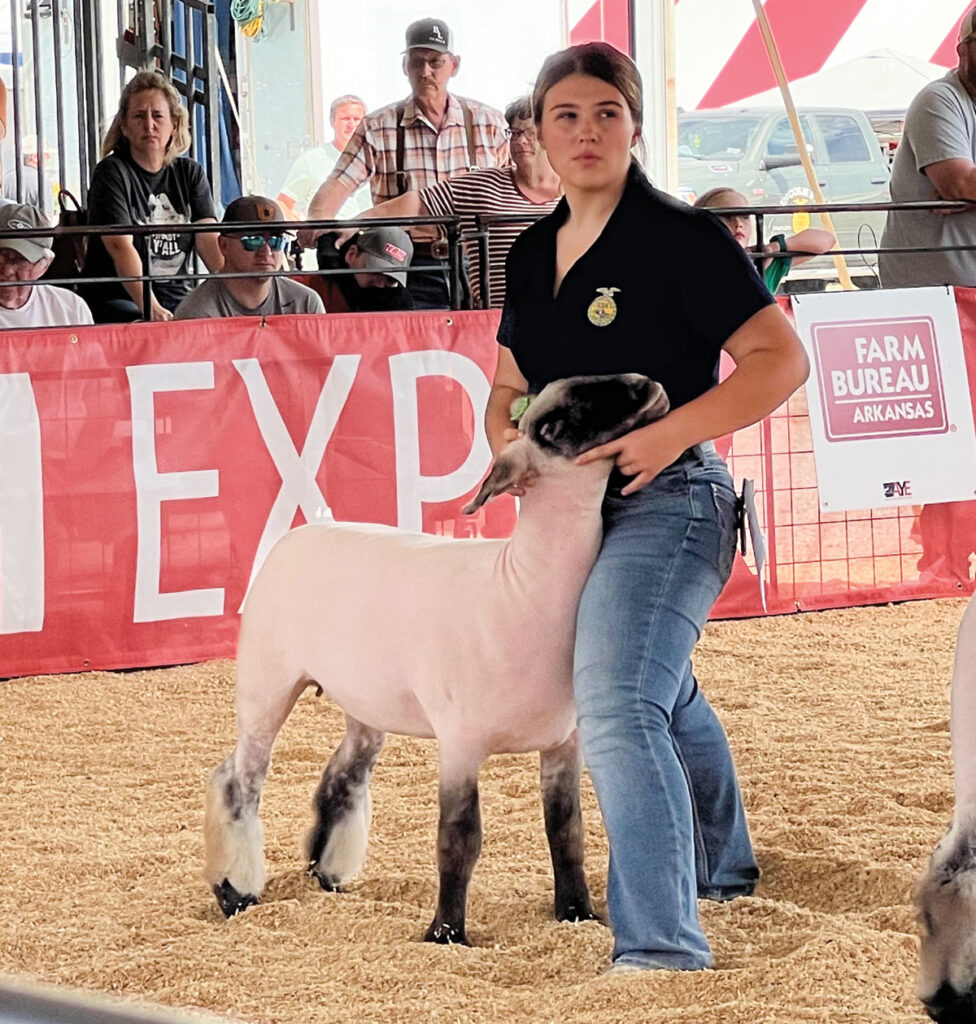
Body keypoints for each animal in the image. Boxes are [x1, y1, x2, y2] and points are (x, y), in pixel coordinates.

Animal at [200, 374, 667, 942]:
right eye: (555, 424)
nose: (646, 385)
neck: (521, 587)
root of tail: (302, 530)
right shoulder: (460, 743)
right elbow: (459, 839)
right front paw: (447, 933)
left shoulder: (564, 742)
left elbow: (567, 832)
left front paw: (577, 912)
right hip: (266, 682)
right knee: (238, 779)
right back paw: (235, 890)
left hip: (366, 700)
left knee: (343, 776)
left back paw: (327, 873)